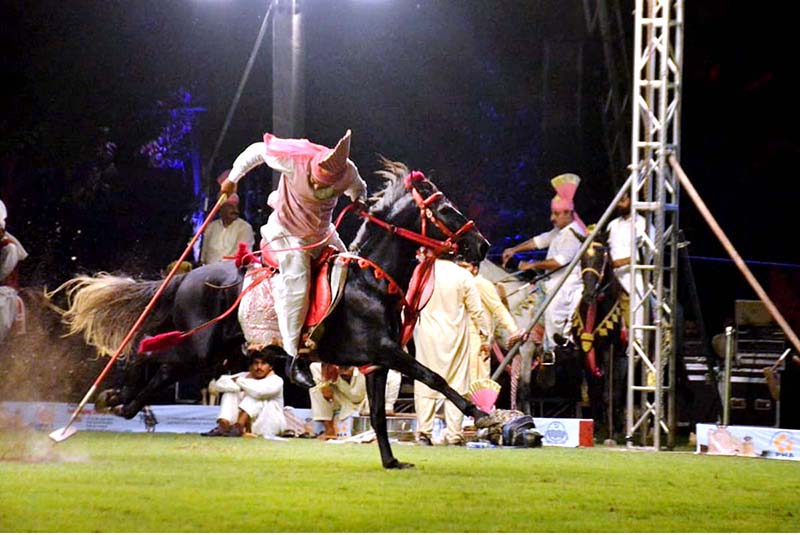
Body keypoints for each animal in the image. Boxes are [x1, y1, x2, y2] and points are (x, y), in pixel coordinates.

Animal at [56, 159, 490, 468]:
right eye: (446, 209)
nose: (482, 245)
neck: (372, 279)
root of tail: (187, 277)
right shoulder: (384, 350)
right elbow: (434, 377)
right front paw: (477, 411)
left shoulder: (376, 363)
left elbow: (381, 415)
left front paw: (391, 461)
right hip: (199, 348)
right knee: (146, 349)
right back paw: (116, 399)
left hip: (212, 352)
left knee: (158, 365)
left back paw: (122, 402)